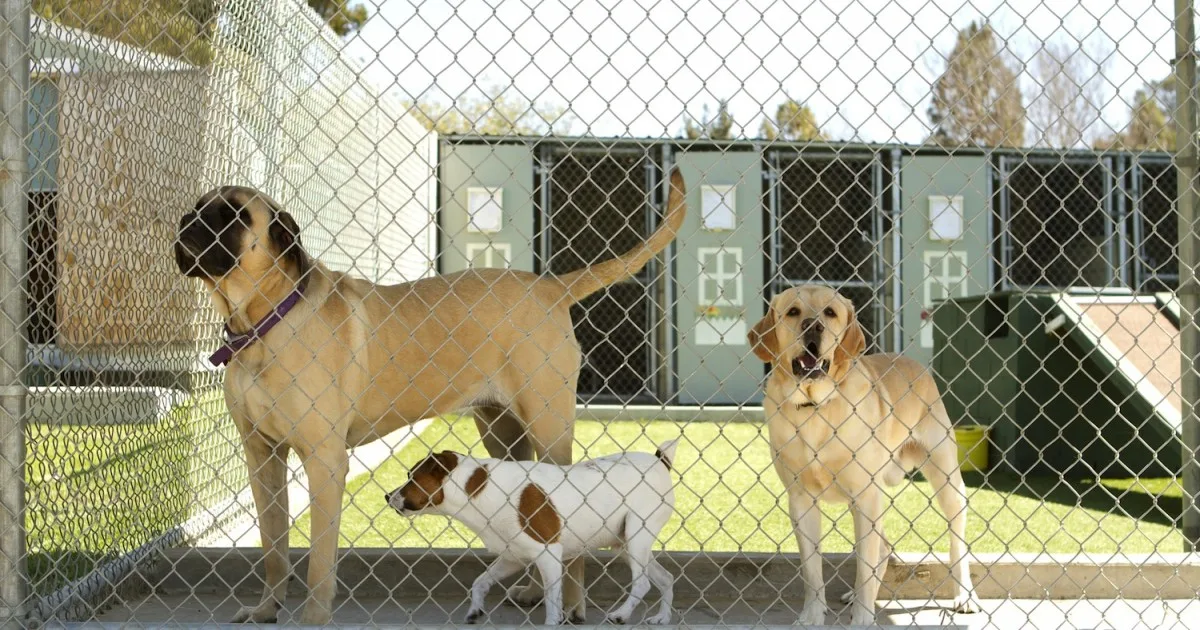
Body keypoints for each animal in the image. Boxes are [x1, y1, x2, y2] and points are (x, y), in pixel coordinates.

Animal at [388, 439, 681, 624]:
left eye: (411, 477)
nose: (386, 495)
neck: (479, 488)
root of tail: (659, 461)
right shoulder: (512, 557)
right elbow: (480, 582)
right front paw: (475, 610)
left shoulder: (549, 555)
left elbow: (552, 602)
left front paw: (553, 621)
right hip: (625, 545)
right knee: (666, 578)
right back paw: (662, 618)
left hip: (636, 537)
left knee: (642, 583)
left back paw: (622, 614)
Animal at [744, 283, 979, 624]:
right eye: (793, 312)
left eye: (830, 312)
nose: (813, 326)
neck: (816, 409)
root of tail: (913, 363)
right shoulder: (801, 501)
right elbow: (812, 570)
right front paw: (813, 615)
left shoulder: (866, 497)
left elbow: (864, 568)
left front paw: (864, 618)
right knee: (882, 548)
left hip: (947, 483)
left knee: (956, 543)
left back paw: (965, 595)